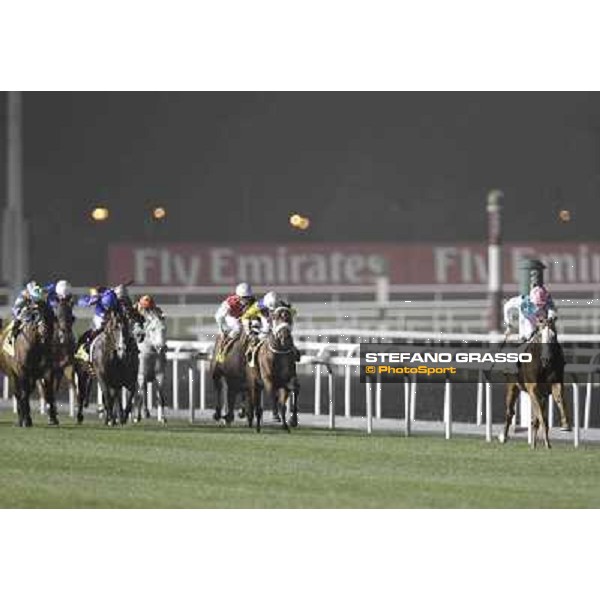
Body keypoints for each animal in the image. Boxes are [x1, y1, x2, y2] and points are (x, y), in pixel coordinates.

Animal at [245, 304, 298, 432]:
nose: (284, 335)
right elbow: (273, 396)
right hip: (253, 383)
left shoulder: (288, 378)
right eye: (275, 317)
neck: (280, 351)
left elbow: (295, 388)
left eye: (289, 317)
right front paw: (275, 416)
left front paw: (292, 420)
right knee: (256, 403)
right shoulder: (268, 379)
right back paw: (256, 424)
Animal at [500, 318, 568, 450]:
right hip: (512, 386)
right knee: (510, 412)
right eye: (540, 335)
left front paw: (565, 425)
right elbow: (542, 417)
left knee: (535, 418)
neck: (543, 366)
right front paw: (547, 443)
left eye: (553, 336)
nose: (547, 359)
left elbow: (559, 399)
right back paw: (503, 437)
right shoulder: (533, 389)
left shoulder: (554, 384)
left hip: (541, 395)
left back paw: (533, 445)